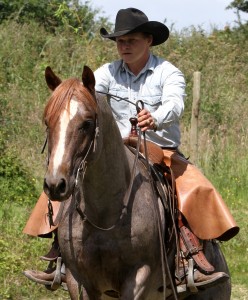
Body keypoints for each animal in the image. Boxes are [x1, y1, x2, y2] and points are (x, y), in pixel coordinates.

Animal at [42, 66, 231, 300]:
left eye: (87, 123)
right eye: (47, 121)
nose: (55, 184)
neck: (104, 215)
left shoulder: (139, 277)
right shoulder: (77, 280)